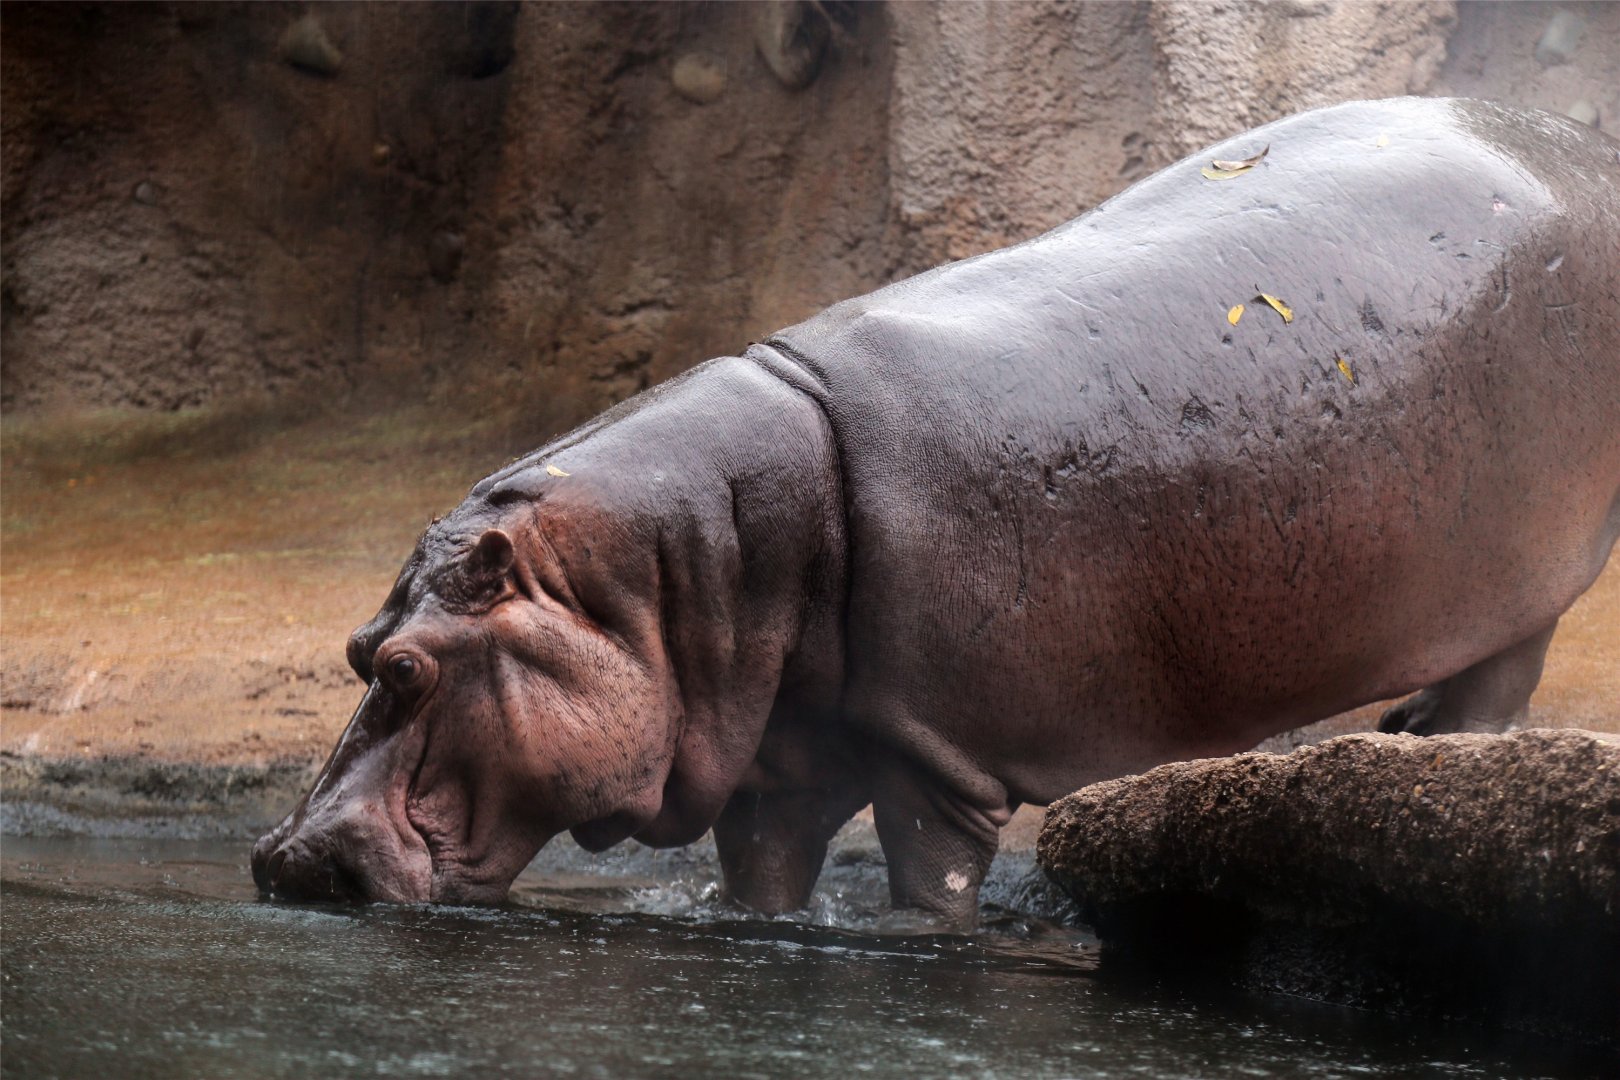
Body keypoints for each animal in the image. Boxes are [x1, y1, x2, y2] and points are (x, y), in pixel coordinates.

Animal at [253, 98, 1620, 926]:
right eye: (359, 650)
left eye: (411, 671)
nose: (280, 859)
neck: (671, 573)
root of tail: (1577, 136)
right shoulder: (779, 761)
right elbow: (762, 880)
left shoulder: (939, 762)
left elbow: (929, 891)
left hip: (1533, 569)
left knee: (1500, 686)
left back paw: (1427, 745)